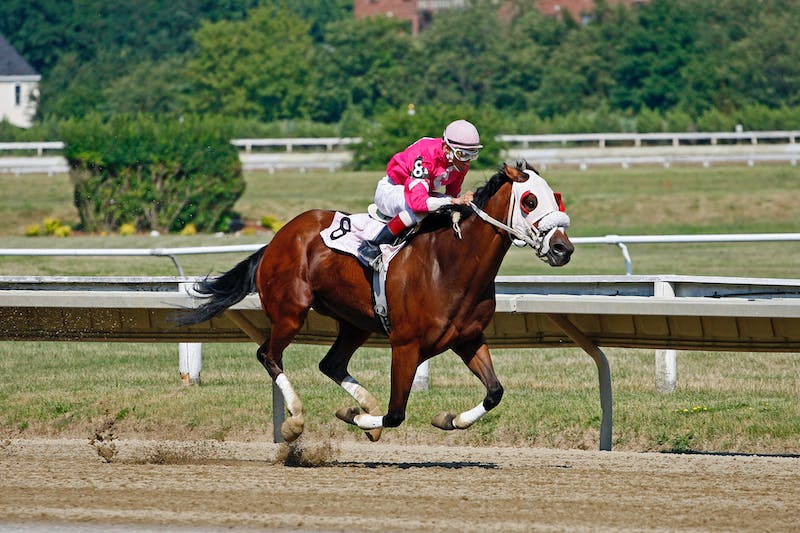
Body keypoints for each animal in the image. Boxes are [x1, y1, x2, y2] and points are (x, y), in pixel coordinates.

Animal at [178, 161, 572, 440]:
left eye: (557, 197)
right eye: (530, 201)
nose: (562, 249)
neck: (449, 264)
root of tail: (277, 238)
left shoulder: (469, 338)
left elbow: (494, 392)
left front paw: (449, 419)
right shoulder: (406, 345)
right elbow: (396, 413)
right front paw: (357, 416)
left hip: (355, 323)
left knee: (331, 364)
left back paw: (363, 406)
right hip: (290, 311)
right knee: (269, 356)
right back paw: (296, 421)